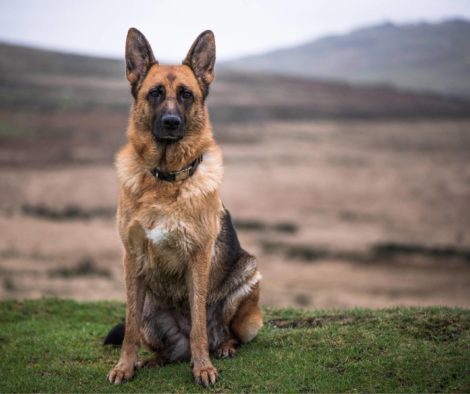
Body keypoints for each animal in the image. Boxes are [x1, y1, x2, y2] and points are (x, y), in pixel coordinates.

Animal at [104, 28, 262, 388]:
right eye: (155, 93)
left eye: (186, 95)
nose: (171, 122)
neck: (166, 178)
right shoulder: (131, 257)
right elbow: (129, 327)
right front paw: (124, 366)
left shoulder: (198, 256)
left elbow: (200, 322)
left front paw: (203, 368)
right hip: (150, 311)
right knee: (166, 346)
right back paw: (153, 360)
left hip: (248, 278)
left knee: (220, 333)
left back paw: (223, 348)